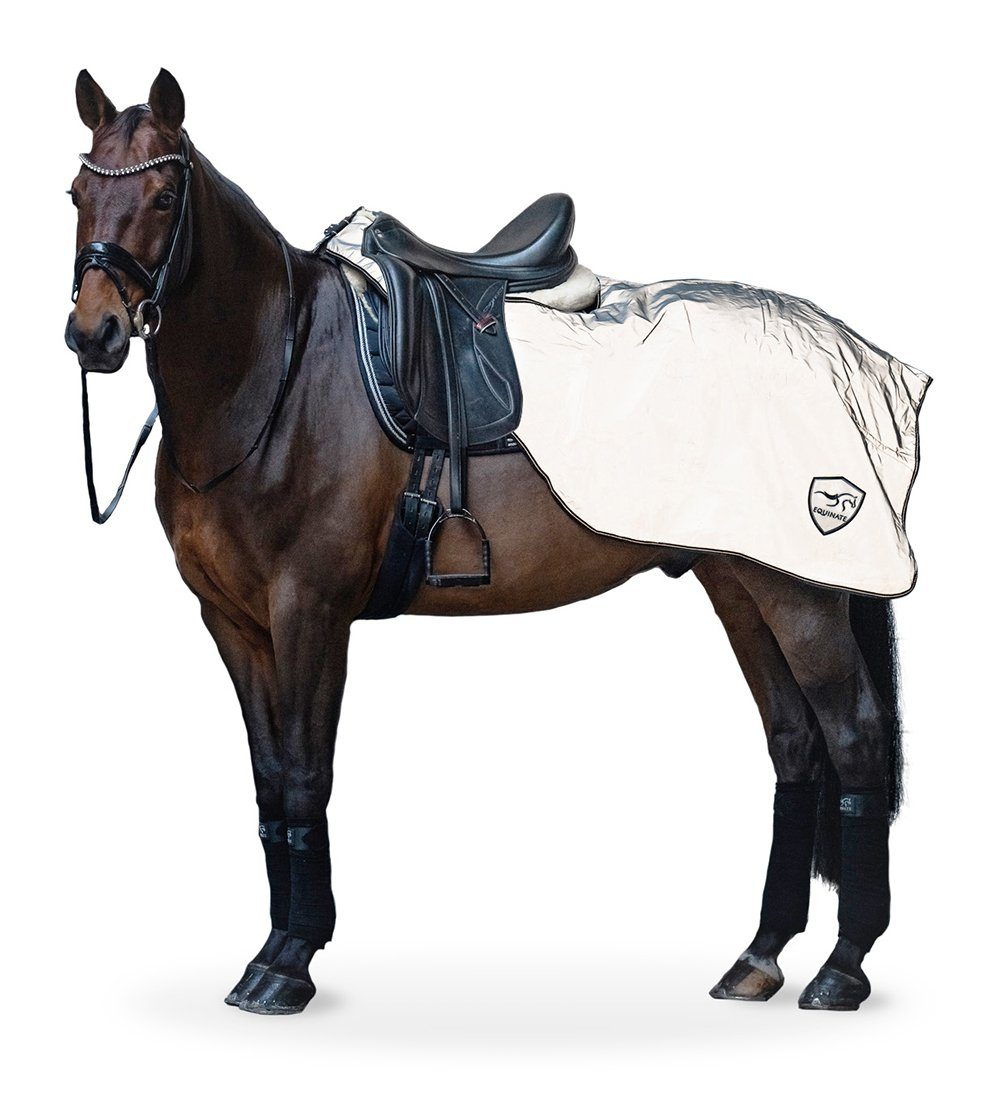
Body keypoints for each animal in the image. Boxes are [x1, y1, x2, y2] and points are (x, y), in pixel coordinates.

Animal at [65, 68, 908, 1016]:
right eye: (76, 193)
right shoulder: (234, 623)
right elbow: (269, 783)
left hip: (802, 592)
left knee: (854, 737)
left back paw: (843, 966)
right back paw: (760, 955)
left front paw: (290, 961)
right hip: (742, 583)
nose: (93, 333)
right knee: (794, 743)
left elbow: (307, 777)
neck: (273, 377)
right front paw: (273, 949)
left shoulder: (310, 612)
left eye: (165, 196)